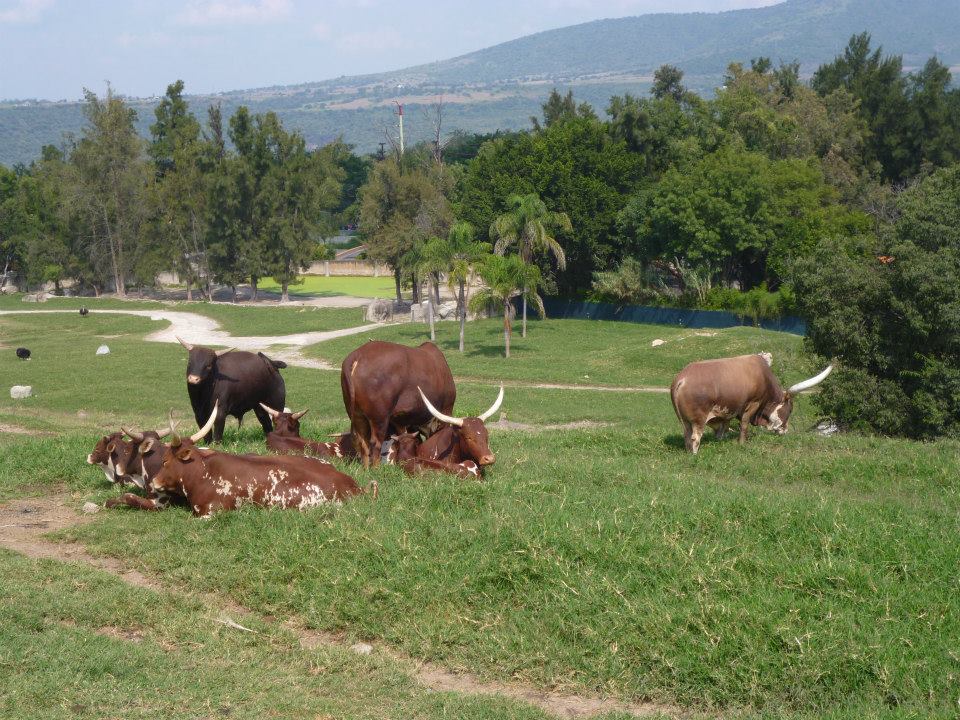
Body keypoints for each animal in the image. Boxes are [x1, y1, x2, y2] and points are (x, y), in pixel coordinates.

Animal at [668, 356, 832, 456]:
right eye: (790, 409)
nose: (784, 430)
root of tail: (682, 379)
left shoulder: (729, 410)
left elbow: (725, 426)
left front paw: (722, 439)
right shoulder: (753, 403)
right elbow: (745, 423)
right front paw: (742, 443)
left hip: (684, 421)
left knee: (687, 435)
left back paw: (688, 452)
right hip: (698, 419)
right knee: (695, 437)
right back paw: (695, 454)